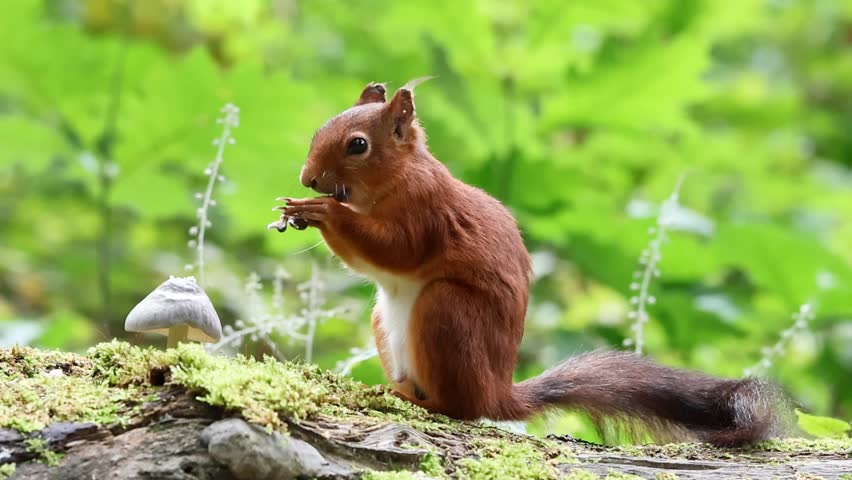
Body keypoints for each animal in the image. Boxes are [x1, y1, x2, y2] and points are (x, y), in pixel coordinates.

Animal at [275, 80, 786, 446]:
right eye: (322, 129)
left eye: (357, 145)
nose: (308, 178)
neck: (396, 178)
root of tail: (498, 392)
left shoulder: (427, 212)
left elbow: (397, 250)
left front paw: (325, 211)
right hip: (385, 321)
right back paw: (389, 389)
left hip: (446, 312)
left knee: (461, 408)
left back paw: (421, 401)